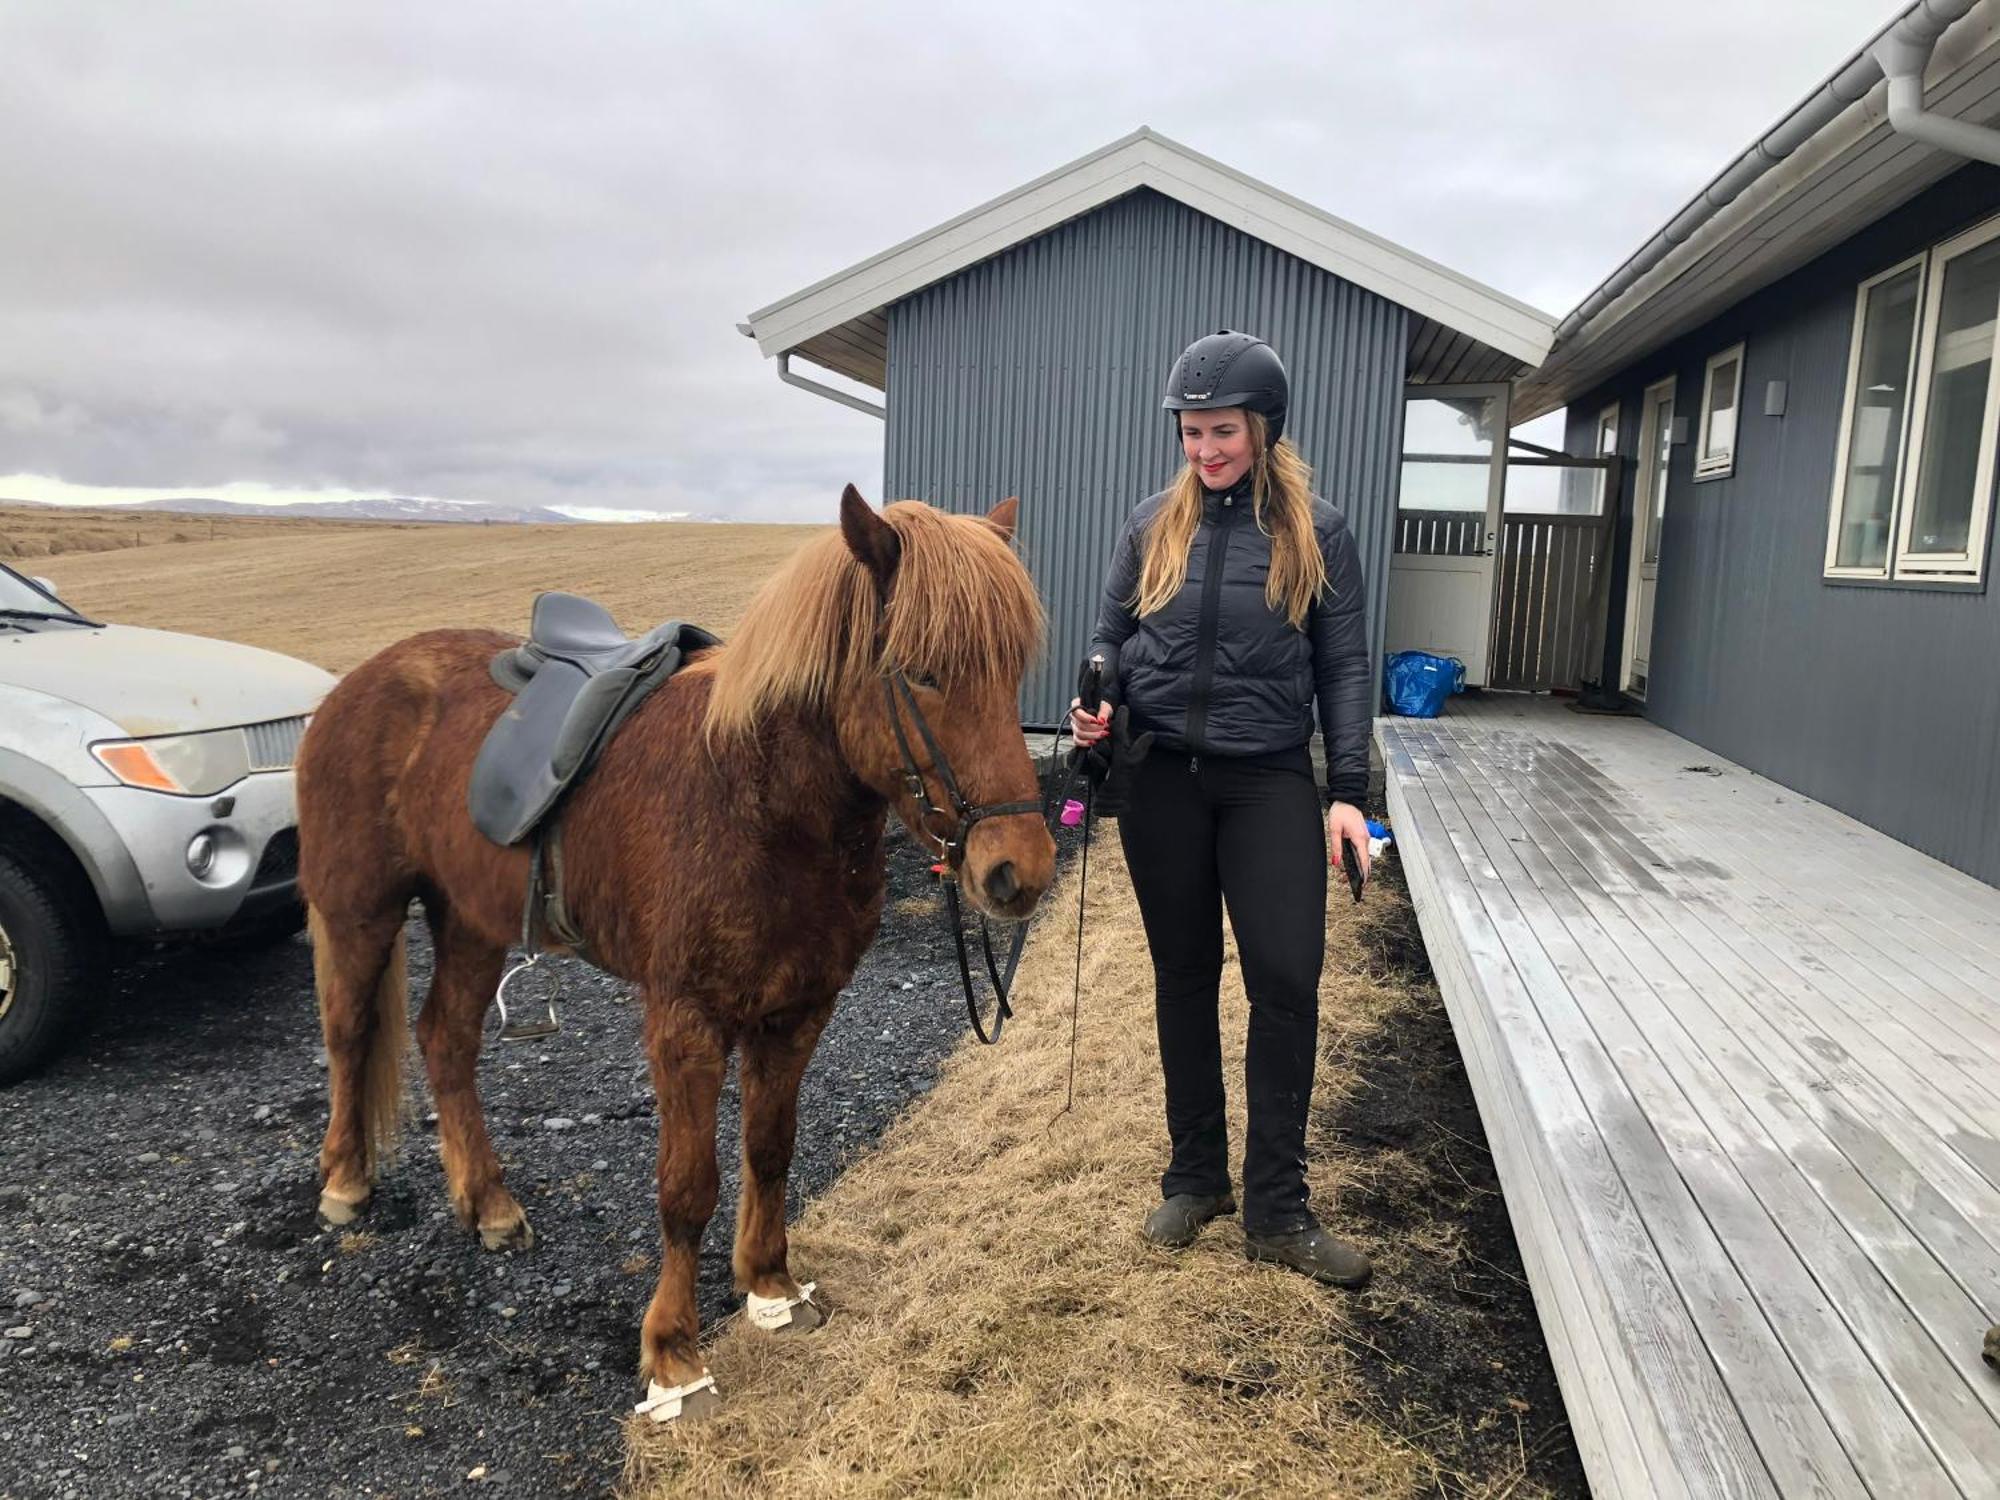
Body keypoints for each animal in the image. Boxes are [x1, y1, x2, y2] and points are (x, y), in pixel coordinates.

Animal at [294, 490, 1056, 1424]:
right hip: (359, 912)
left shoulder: (797, 1011)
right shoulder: (687, 1023)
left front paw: (771, 1286)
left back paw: (489, 1203)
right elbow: (688, 1188)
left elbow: (770, 1147)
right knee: (348, 1034)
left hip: (469, 917)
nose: (1019, 872)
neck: (757, 805)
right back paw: (344, 1184)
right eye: (920, 672)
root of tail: (357, 683)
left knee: (446, 1040)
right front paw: (674, 1358)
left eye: (1011, 671)